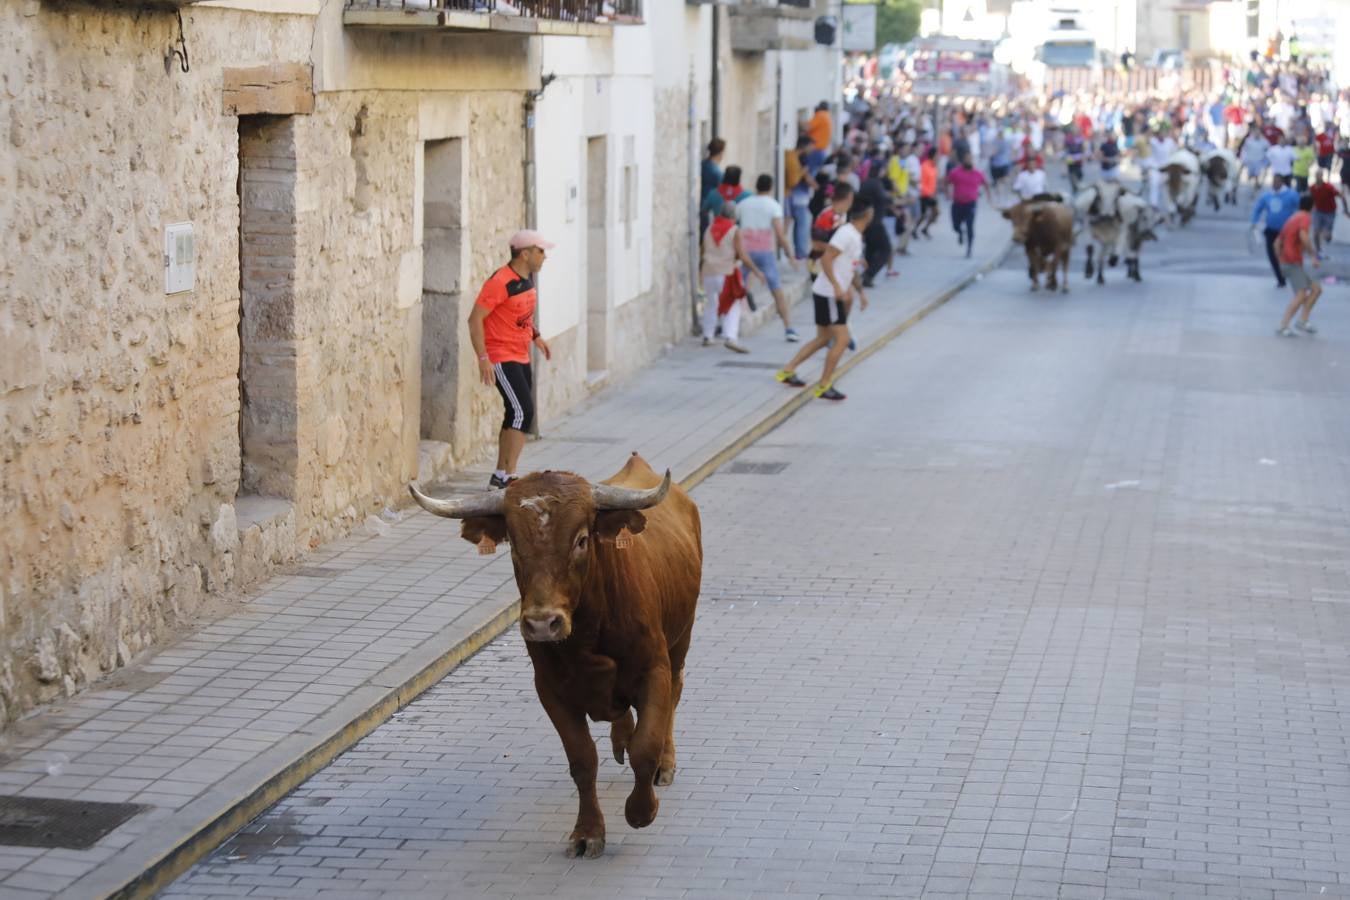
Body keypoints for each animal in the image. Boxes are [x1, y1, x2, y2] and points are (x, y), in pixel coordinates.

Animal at [407, 453, 707, 863]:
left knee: (674, 695)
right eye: (513, 544)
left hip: (682, 639)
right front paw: (588, 832)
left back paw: (665, 762)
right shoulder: (550, 690)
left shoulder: (653, 671)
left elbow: (645, 746)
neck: (588, 632)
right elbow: (582, 760)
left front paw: (641, 810)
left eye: (581, 539)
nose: (541, 623)